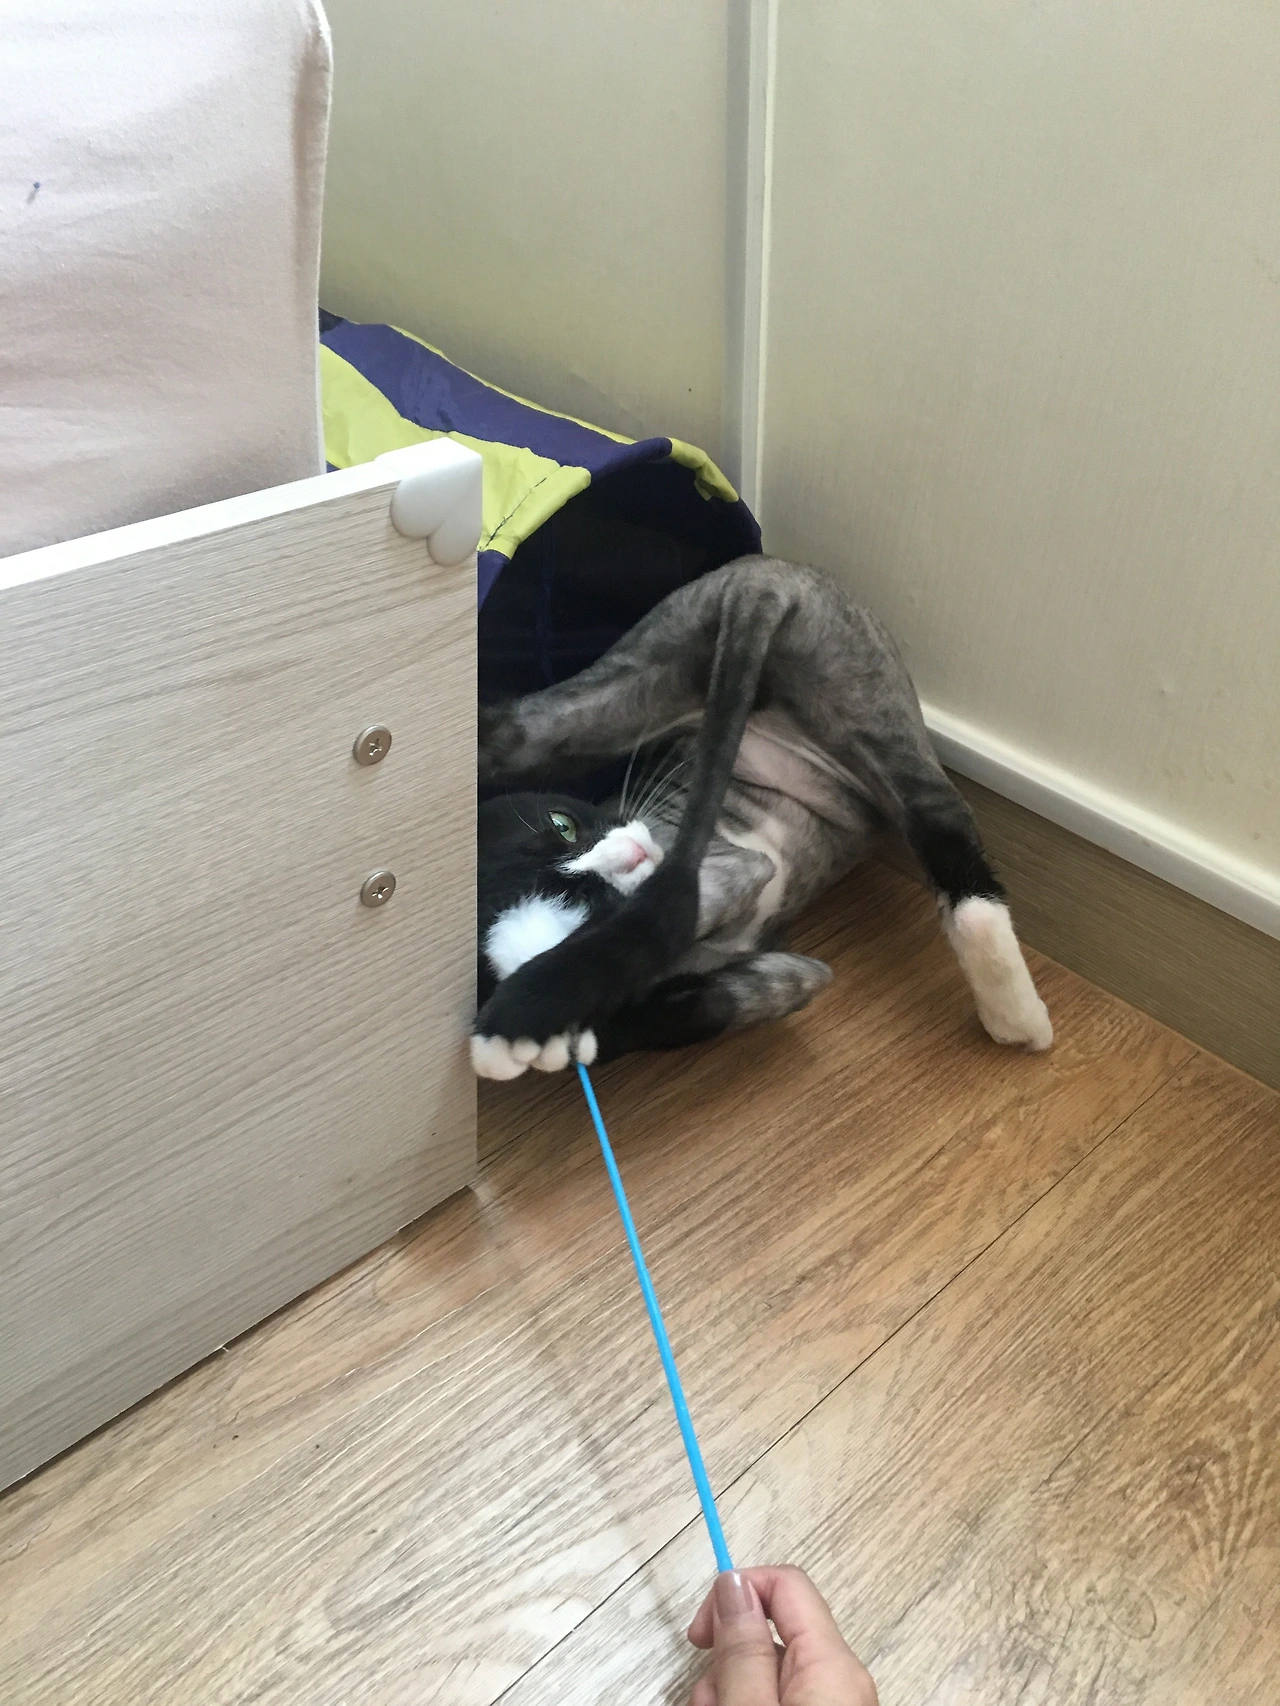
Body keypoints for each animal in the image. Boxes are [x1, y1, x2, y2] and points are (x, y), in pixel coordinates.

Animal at [473, 555, 1052, 1080]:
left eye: (564, 826)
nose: (633, 851)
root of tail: (762, 578)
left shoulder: (733, 872)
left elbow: (649, 947)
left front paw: (535, 1016)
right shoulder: (789, 974)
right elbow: (686, 1013)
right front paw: (567, 1032)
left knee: (959, 867)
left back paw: (1017, 1017)